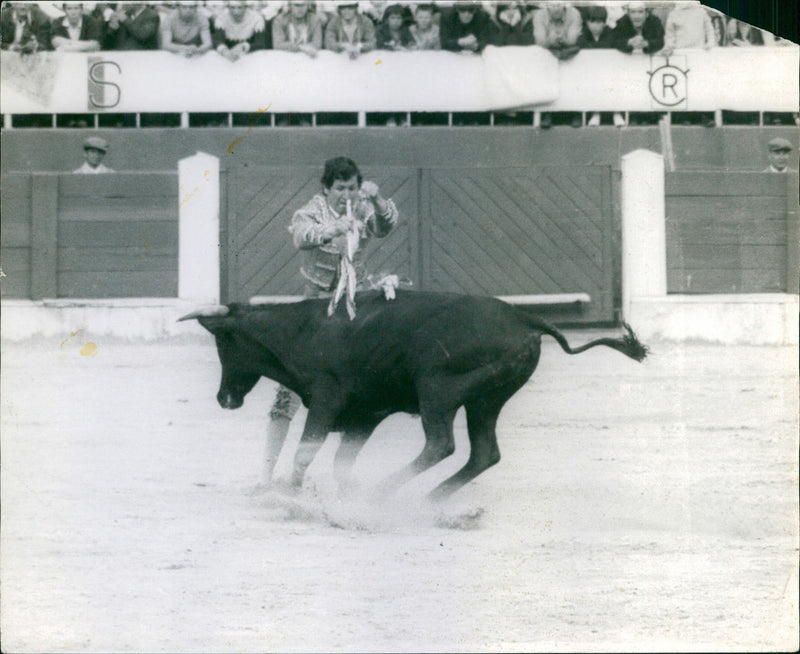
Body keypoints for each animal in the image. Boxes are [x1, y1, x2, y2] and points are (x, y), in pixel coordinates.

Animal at [178, 292, 648, 502]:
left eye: (223, 344)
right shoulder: (365, 413)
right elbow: (341, 461)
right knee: (484, 453)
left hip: (437, 391)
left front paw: (291, 496)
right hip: (485, 401)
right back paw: (428, 501)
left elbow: (306, 451)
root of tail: (523, 317)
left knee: (441, 444)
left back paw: (386, 494)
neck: (301, 329)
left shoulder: (328, 399)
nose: (224, 398)